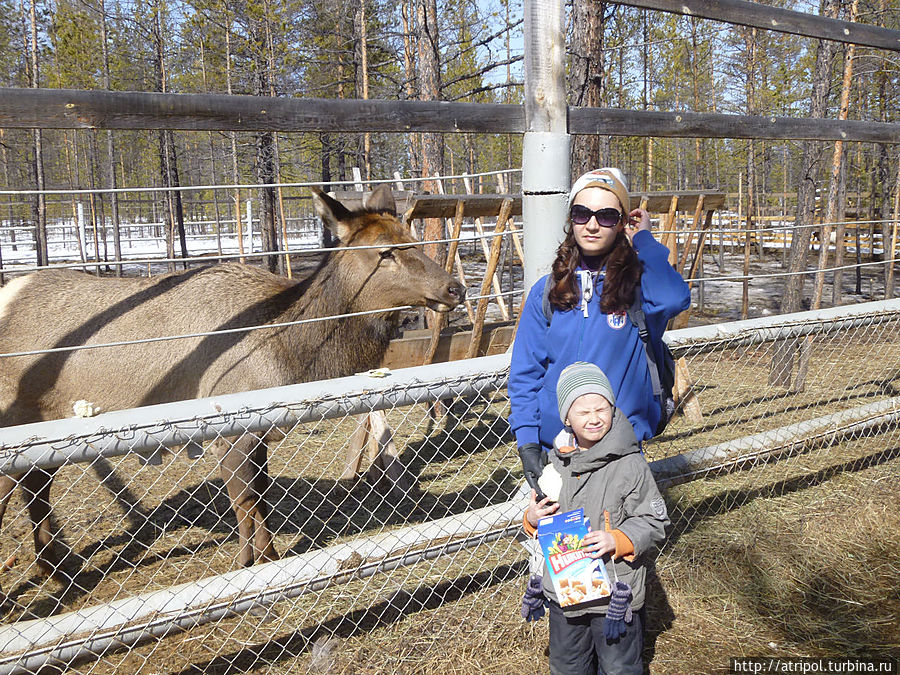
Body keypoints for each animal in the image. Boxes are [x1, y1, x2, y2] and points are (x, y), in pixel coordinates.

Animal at [0, 186, 464, 596]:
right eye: (385, 252)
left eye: (414, 239)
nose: (454, 288)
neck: (290, 357)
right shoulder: (229, 425)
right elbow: (245, 499)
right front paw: (251, 561)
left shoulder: (260, 430)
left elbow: (259, 496)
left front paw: (265, 555)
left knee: (34, 486)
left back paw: (57, 566)